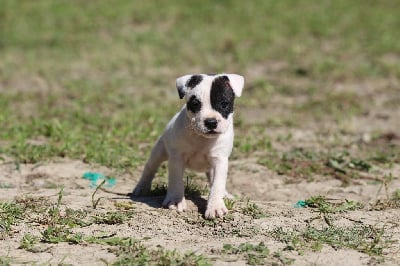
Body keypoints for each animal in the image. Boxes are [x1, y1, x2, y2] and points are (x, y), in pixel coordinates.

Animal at [133, 73, 244, 218]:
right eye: (195, 104)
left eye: (224, 104)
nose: (211, 122)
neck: (201, 138)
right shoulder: (177, 158)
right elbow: (176, 180)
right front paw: (176, 200)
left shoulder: (220, 161)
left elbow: (217, 184)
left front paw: (215, 206)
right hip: (159, 151)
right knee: (150, 168)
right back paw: (141, 188)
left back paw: (225, 195)